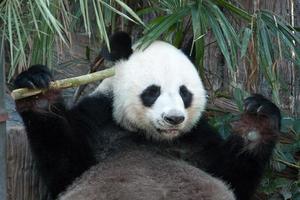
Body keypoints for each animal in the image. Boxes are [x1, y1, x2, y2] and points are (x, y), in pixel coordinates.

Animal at [13, 32, 282, 199]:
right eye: (153, 91)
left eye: (184, 93)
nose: (174, 119)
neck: (148, 136)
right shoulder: (98, 120)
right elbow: (66, 166)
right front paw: (37, 91)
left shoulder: (196, 139)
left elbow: (231, 175)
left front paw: (258, 118)